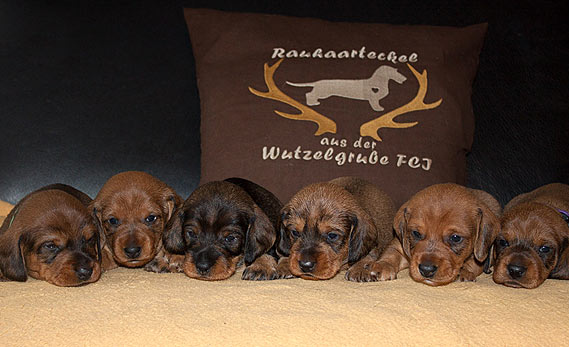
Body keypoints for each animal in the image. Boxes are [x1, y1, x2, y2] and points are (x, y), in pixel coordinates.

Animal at [370, 184, 500, 286]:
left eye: (455, 238)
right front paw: (382, 266)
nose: (426, 270)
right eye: (416, 233)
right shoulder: (399, 245)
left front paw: (464, 272)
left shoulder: (481, 255)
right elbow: (391, 254)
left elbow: (473, 263)